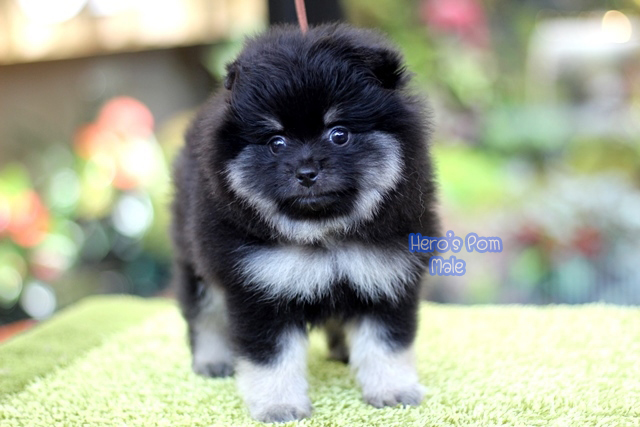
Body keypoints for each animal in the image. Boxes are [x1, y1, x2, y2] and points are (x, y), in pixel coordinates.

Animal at [171, 23, 439, 423]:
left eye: (339, 134)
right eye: (276, 142)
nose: (306, 172)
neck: (324, 236)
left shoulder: (385, 278)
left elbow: (386, 345)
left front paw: (392, 390)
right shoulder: (261, 288)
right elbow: (271, 360)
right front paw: (278, 405)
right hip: (195, 259)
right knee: (204, 313)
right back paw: (213, 360)